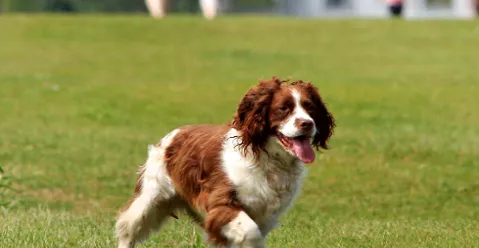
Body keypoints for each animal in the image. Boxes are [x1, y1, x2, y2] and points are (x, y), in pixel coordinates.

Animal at [115, 76, 336, 247]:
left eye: (310, 107)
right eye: (284, 108)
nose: (307, 124)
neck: (267, 160)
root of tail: (175, 133)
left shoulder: (265, 215)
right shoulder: (221, 205)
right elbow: (250, 233)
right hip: (151, 197)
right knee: (127, 228)